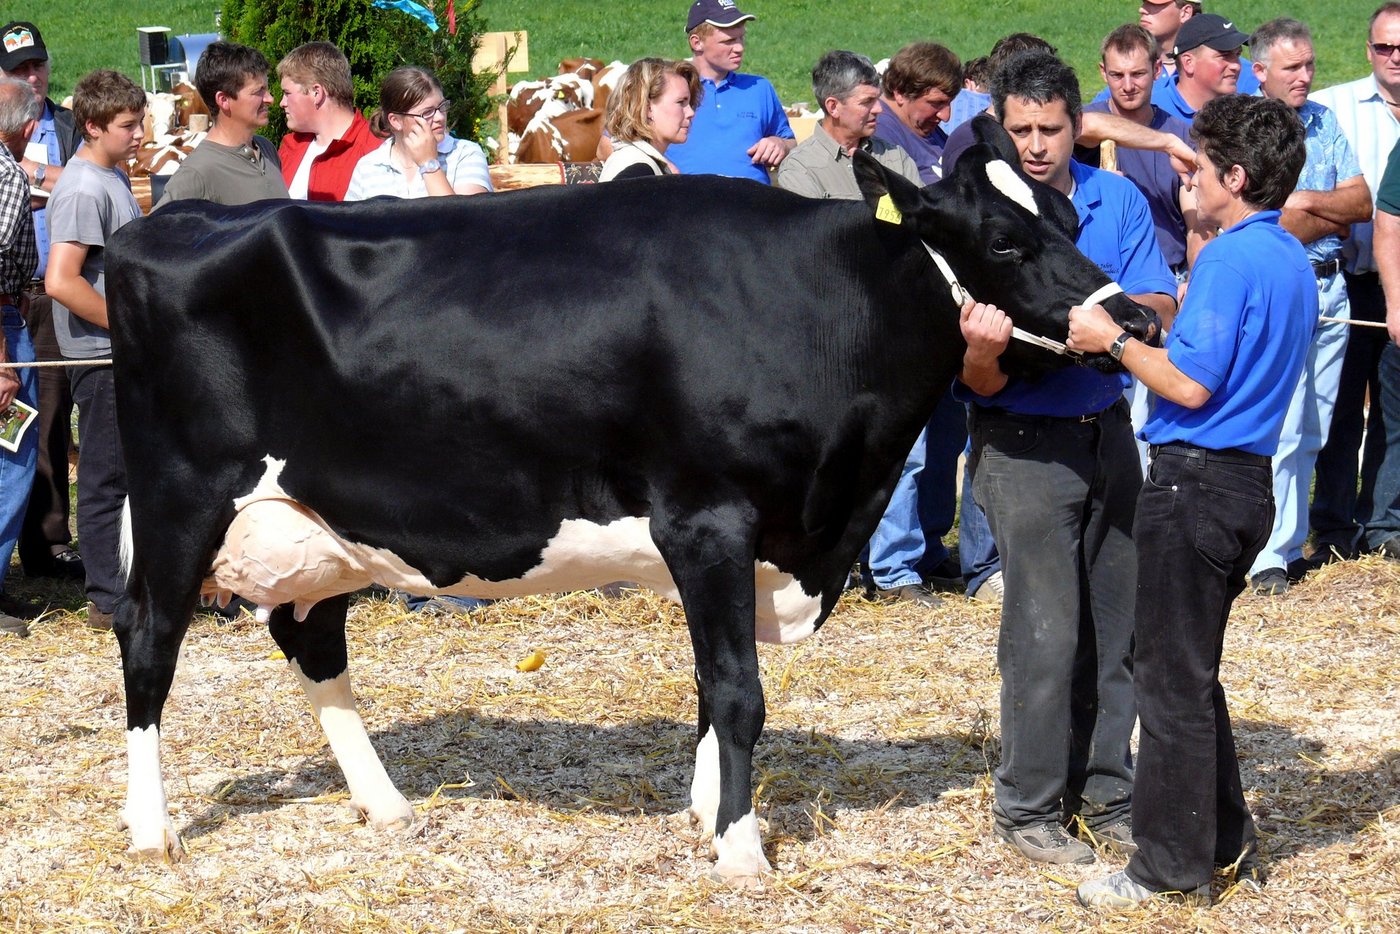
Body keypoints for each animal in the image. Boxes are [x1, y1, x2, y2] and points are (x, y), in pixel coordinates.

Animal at [105, 116, 1155, 884]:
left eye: (1071, 214)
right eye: (1005, 241)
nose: (1136, 319)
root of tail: (161, 224)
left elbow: (707, 684)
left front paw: (705, 817)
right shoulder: (708, 520)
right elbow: (736, 691)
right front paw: (740, 851)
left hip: (324, 522)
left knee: (311, 639)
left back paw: (388, 805)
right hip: (179, 496)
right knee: (149, 641)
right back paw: (152, 832)